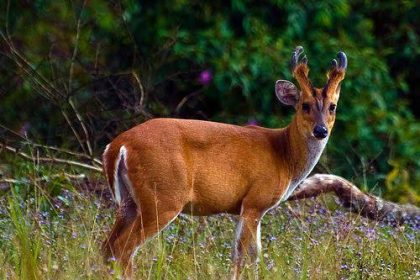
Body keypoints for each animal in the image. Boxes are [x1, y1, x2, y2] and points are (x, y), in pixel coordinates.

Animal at [101, 46, 348, 278]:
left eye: (332, 107)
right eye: (305, 105)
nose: (321, 130)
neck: (284, 156)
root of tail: (118, 146)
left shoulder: (244, 207)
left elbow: (239, 254)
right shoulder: (255, 201)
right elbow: (249, 255)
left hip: (129, 200)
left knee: (108, 246)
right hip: (163, 196)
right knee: (124, 247)